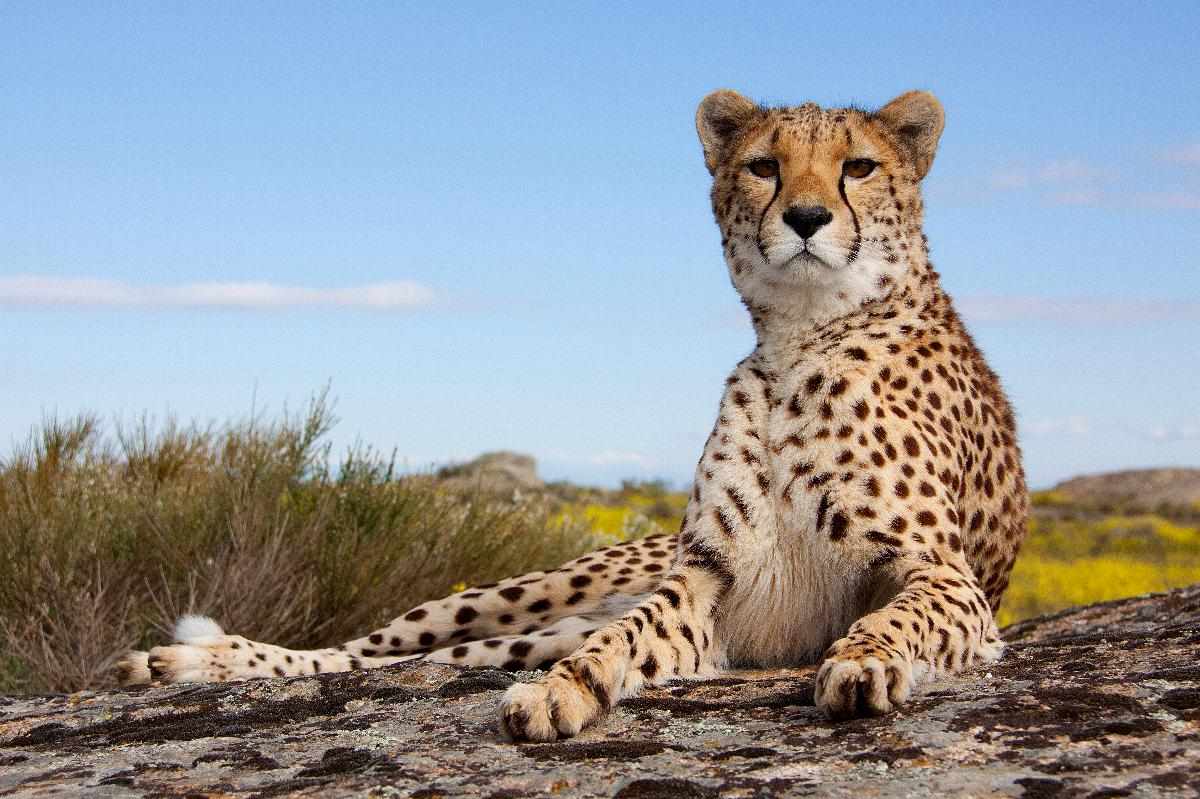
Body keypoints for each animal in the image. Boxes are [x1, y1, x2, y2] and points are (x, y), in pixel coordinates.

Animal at [117, 89, 1027, 745]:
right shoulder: (705, 580)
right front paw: (565, 691)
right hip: (527, 594)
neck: (799, 339)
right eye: (765, 166)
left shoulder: (944, 575)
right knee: (366, 649)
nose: (806, 218)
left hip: (531, 624)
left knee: (429, 656)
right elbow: (624, 640)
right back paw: (196, 659)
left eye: (860, 166)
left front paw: (864, 663)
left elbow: (894, 616)